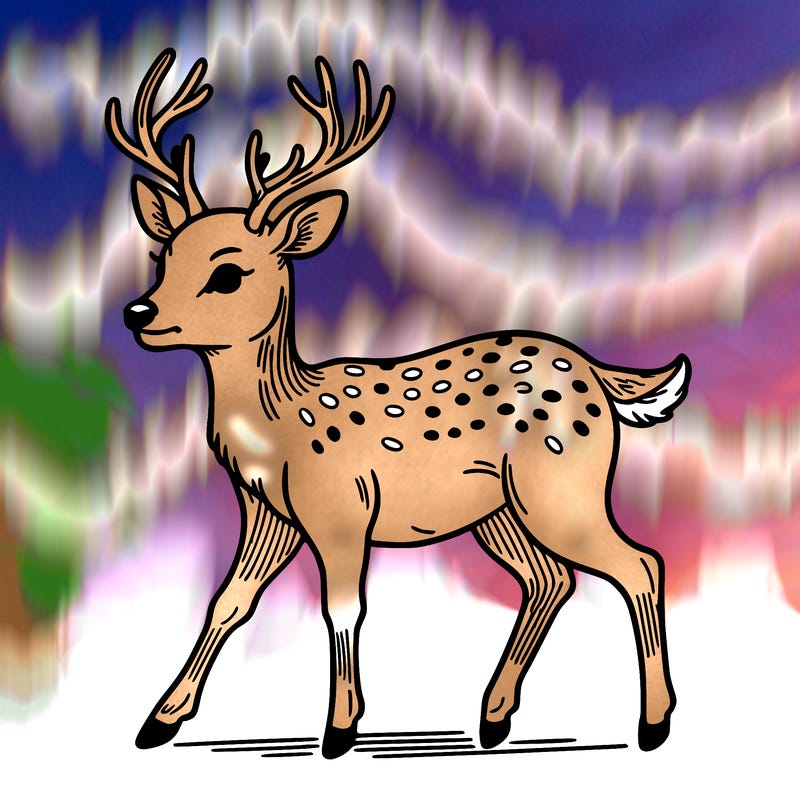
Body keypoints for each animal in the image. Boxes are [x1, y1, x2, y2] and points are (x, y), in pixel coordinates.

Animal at [106, 49, 690, 759]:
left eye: (227, 273)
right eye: (163, 254)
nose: (138, 314)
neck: (278, 426)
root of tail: (599, 376)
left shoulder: (341, 507)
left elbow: (342, 606)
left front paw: (339, 729)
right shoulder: (267, 513)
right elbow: (228, 600)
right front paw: (159, 720)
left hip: (563, 486)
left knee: (639, 564)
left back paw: (653, 723)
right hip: (498, 510)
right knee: (550, 580)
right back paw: (493, 717)